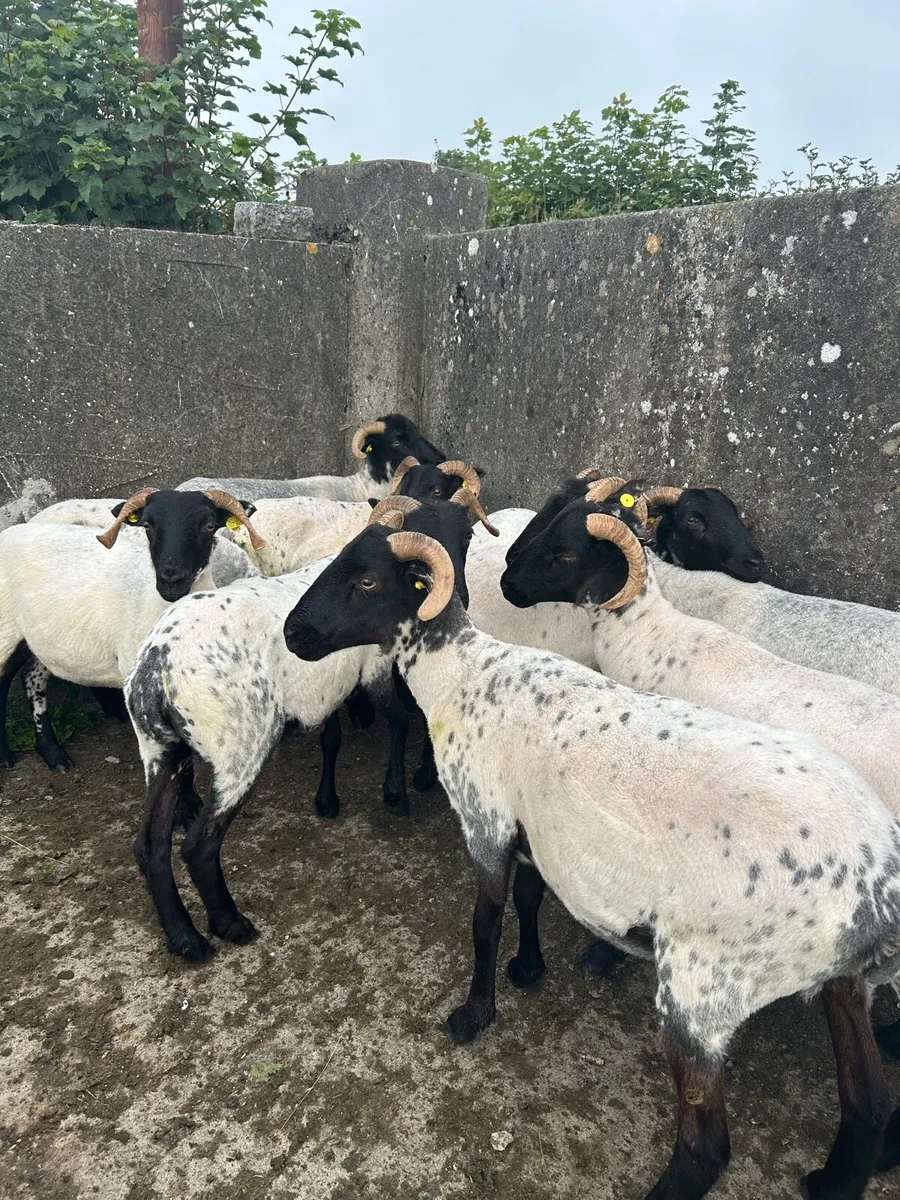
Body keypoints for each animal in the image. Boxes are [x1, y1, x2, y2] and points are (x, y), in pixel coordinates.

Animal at [0, 488, 264, 773]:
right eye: (147, 525)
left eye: (209, 525)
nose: (171, 579)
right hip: (6, 630)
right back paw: (8, 756)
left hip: (41, 635)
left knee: (32, 678)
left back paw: (53, 753)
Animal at [124, 493, 480, 964]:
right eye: (370, 581)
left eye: (467, 535)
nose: (461, 597)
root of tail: (156, 666)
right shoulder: (374, 669)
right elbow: (400, 719)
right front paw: (395, 793)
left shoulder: (327, 686)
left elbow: (332, 735)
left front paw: (328, 799)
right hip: (239, 747)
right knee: (200, 845)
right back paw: (230, 925)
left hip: (160, 749)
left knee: (150, 846)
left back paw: (185, 939)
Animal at [284, 518, 900, 1198]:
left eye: (366, 580)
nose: (292, 634)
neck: (460, 675)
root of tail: (880, 886)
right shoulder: (529, 831)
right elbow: (528, 899)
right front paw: (528, 969)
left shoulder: (484, 820)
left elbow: (484, 923)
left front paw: (473, 1014)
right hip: (840, 979)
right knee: (868, 1103)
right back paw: (830, 1182)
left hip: (706, 985)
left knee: (706, 1146)